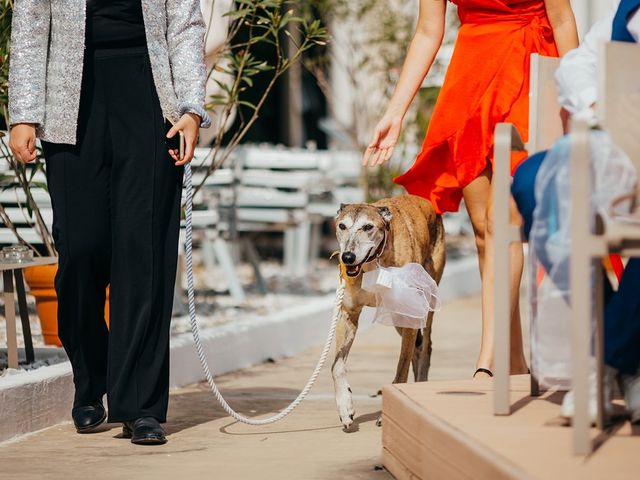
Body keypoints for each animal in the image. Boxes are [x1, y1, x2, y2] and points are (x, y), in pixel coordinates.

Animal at [330, 193, 444, 430]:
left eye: (368, 227)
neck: (374, 262)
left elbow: (401, 366)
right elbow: (336, 365)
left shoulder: (410, 312)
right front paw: (345, 407)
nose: (347, 257)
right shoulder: (348, 314)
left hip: (425, 303)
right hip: (397, 318)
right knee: (417, 347)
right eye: (342, 226)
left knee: (425, 346)